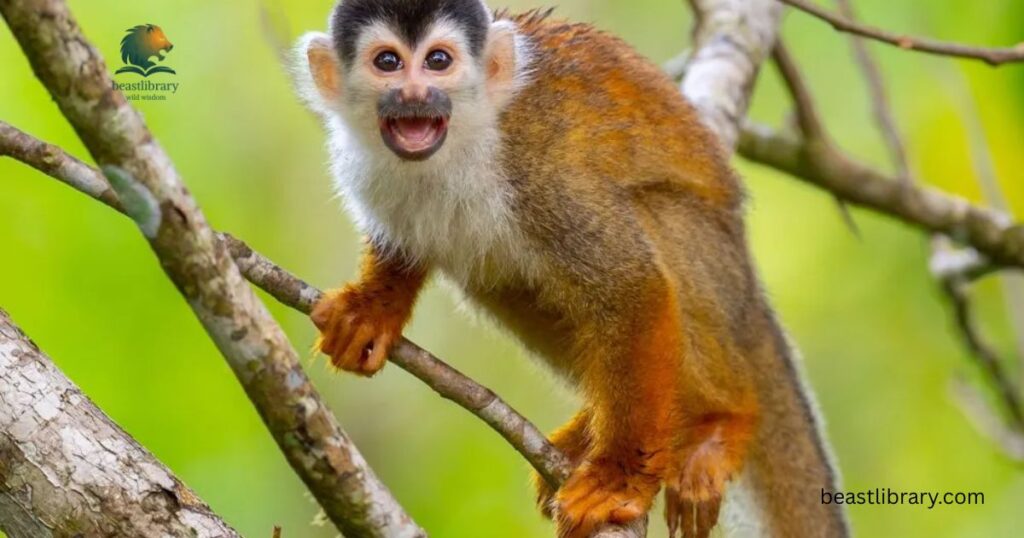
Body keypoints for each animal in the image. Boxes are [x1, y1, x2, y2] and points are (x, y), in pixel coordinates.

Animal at [294, 1, 851, 537]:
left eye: (438, 61)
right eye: (387, 62)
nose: (414, 94)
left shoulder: (538, 173)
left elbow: (632, 288)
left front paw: (619, 480)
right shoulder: (365, 166)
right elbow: (404, 244)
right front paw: (373, 310)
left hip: (717, 265)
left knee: (653, 221)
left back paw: (716, 421)